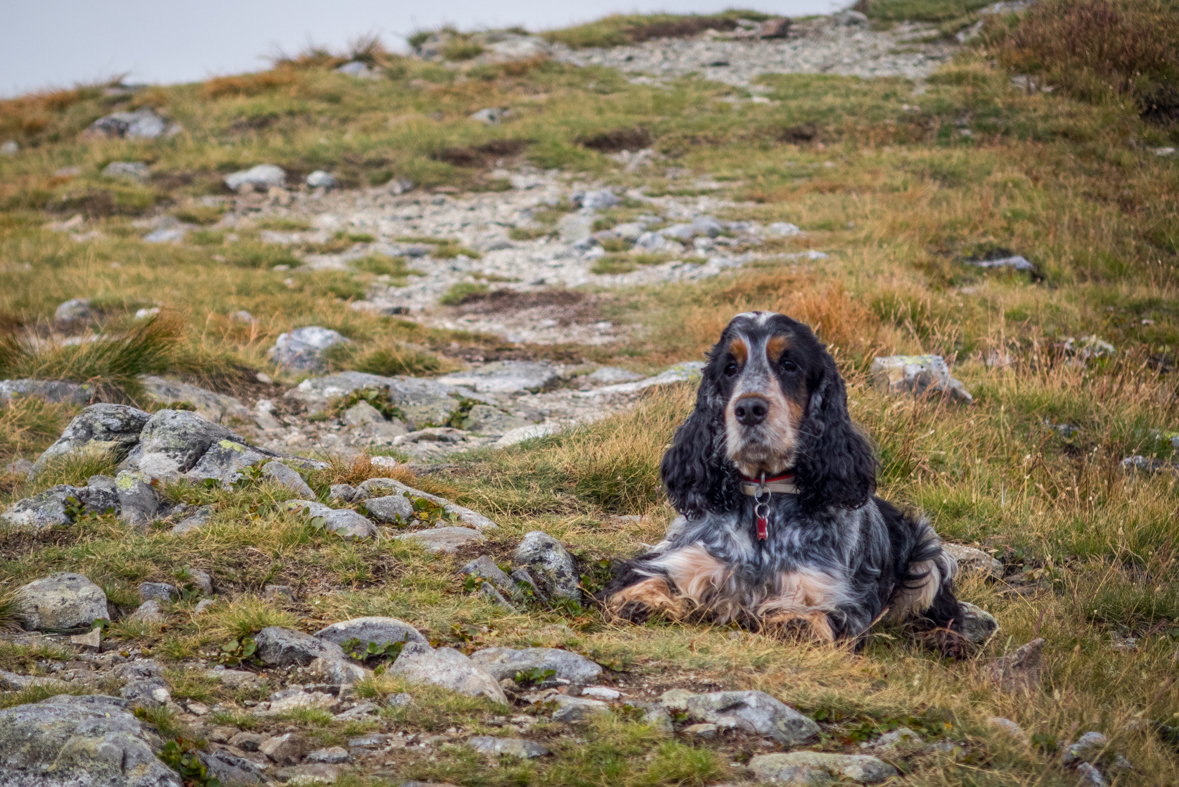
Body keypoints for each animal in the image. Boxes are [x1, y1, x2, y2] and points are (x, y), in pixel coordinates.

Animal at [603, 311, 962, 640]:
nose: (749, 409)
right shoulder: (682, 558)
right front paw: (641, 600)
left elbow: (814, 609)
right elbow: (649, 576)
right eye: (730, 368)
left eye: (789, 364)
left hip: (927, 552)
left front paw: (798, 621)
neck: (765, 497)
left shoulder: (834, 593)